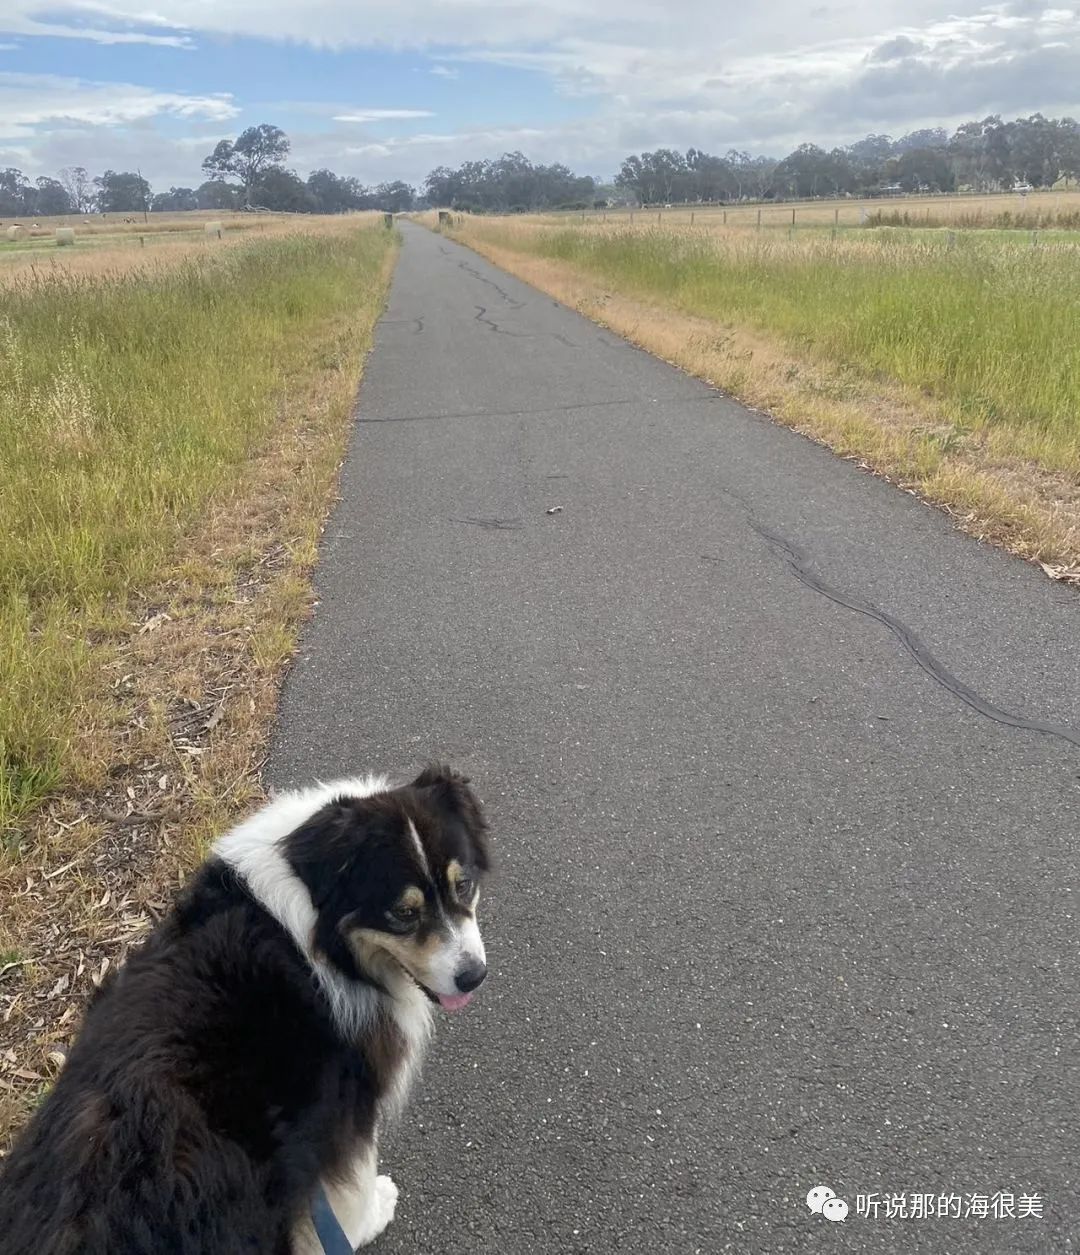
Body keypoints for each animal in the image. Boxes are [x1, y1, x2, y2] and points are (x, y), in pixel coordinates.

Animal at [0, 763, 489, 1255]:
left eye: (463, 885)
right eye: (402, 914)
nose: (474, 976)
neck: (313, 928)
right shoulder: (344, 1109)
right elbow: (353, 1188)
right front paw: (372, 1214)